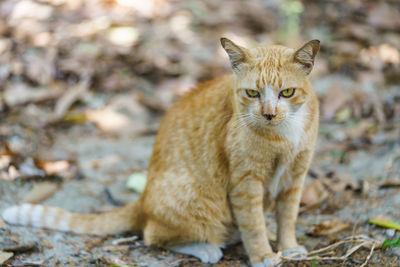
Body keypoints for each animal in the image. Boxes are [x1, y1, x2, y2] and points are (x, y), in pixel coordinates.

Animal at [0, 38, 318, 267]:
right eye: (252, 93)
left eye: (287, 93)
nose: (269, 114)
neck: (283, 134)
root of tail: (143, 197)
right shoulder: (246, 183)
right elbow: (253, 224)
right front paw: (263, 255)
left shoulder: (296, 176)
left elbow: (288, 217)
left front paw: (289, 247)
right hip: (198, 200)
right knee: (154, 235)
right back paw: (208, 248)